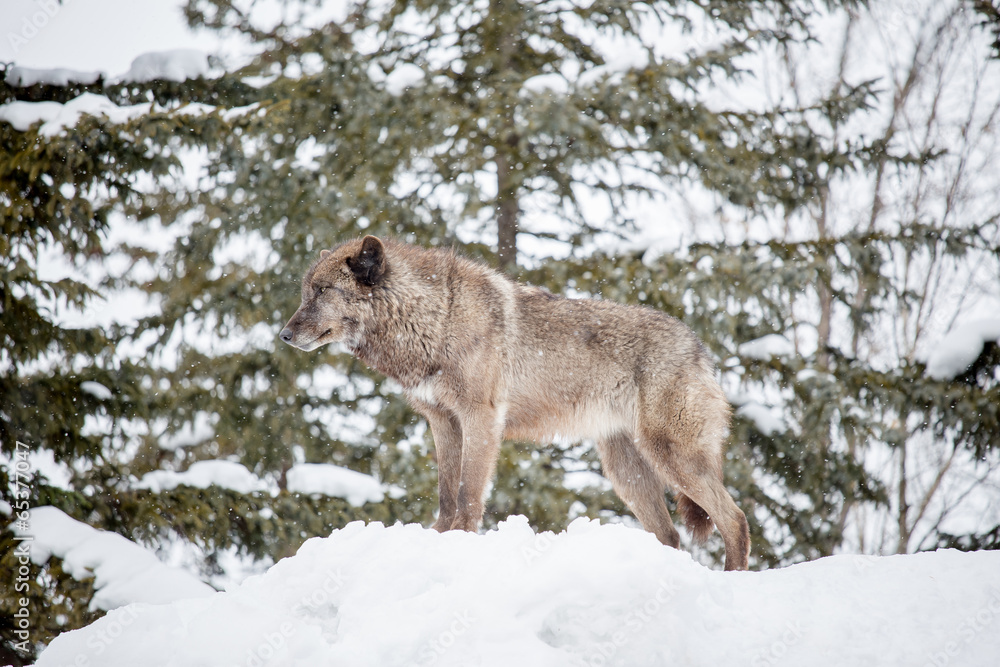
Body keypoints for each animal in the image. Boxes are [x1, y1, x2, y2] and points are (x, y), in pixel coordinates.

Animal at [279, 236, 751, 570]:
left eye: (321, 291)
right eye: (305, 292)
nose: (283, 335)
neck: (437, 318)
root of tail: (700, 349)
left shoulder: (481, 418)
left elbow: (468, 494)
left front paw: (462, 543)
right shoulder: (443, 422)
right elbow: (446, 494)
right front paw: (439, 538)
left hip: (670, 456)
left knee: (735, 521)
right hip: (625, 471)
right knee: (672, 536)